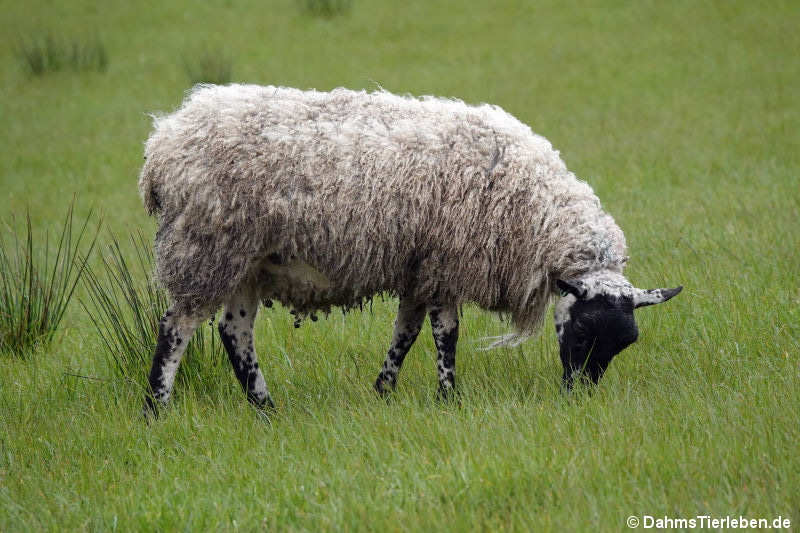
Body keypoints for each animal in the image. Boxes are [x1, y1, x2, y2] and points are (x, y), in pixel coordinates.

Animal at [139, 82, 680, 412]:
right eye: (584, 332)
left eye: (624, 343)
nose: (578, 394)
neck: (534, 212)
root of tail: (162, 143)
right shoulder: (444, 263)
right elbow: (447, 334)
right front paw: (449, 397)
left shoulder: (418, 269)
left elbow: (407, 332)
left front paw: (384, 391)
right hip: (206, 249)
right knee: (176, 328)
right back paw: (156, 409)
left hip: (245, 263)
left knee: (235, 333)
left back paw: (265, 408)